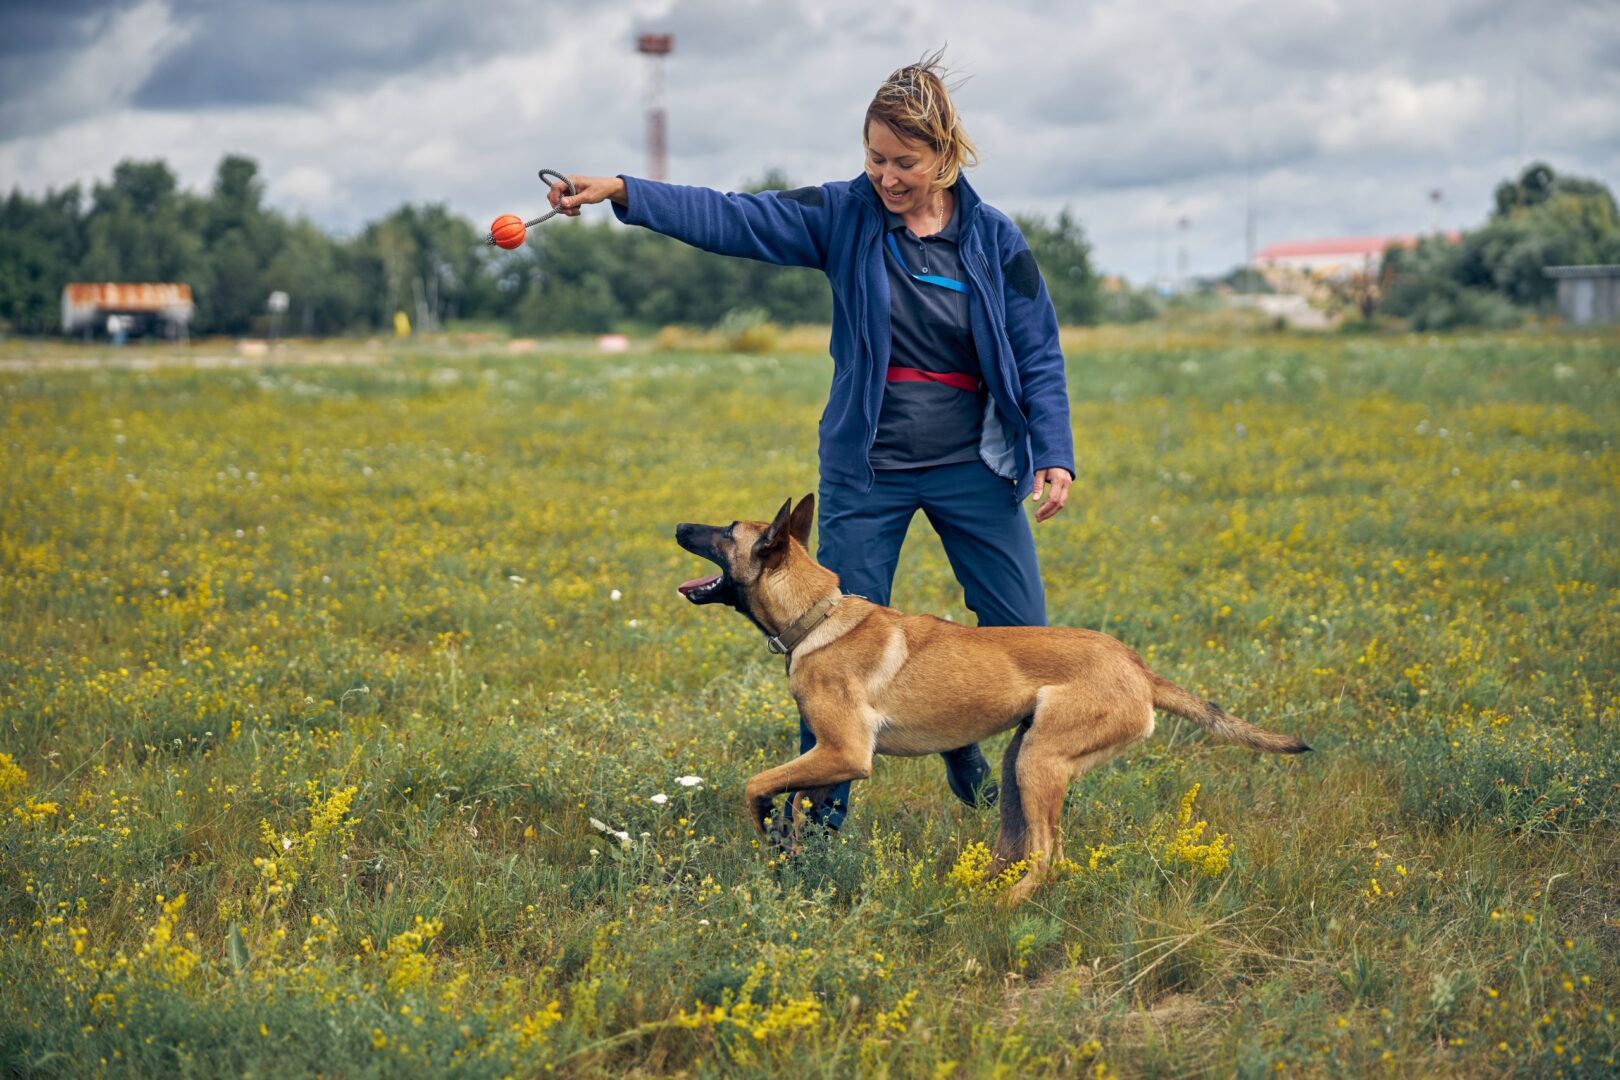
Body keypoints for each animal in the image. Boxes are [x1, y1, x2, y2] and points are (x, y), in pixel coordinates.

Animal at [677, 495, 1308, 906]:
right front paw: (791, 857)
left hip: (1039, 762)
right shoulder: (830, 759)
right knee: (1023, 846)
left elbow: (756, 785)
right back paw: (973, 888)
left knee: (1049, 858)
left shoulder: (847, 753)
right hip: (1018, 763)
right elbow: (798, 803)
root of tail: (1138, 668)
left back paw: (997, 908)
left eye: (726, 530)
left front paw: (766, 832)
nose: (680, 524)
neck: (816, 617)